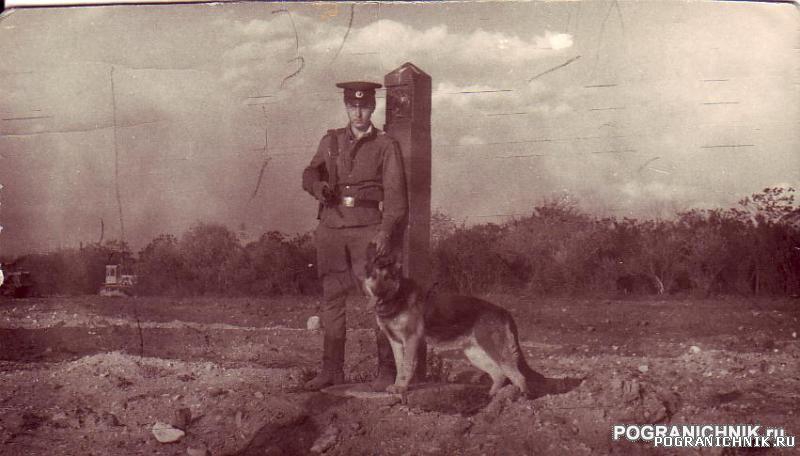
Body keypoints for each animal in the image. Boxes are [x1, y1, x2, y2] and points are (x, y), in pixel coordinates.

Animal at [364, 244, 548, 398]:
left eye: (387, 277)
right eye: (373, 276)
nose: (377, 292)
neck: (397, 297)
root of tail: (503, 311)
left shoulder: (411, 339)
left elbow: (406, 366)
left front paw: (401, 388)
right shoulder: (395, 342)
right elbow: (399, 364)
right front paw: (397, 386)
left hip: (494, 350)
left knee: (518, 376)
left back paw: (519, 400)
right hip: (475, 354)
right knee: (500, 374)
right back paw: (490, 398)